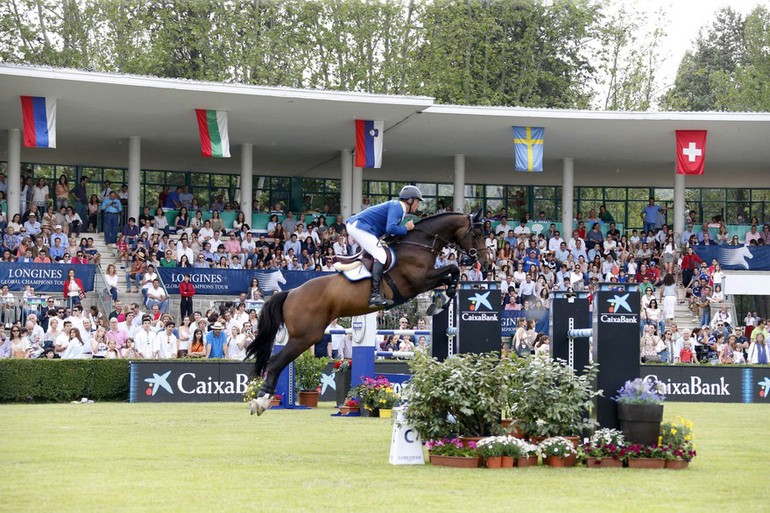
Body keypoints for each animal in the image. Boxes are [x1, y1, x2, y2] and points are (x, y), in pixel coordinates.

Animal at [244, 210, 486, 414]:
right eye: (477, 233)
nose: (481, 260)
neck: (419, 244)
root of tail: (291, 292)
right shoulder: (419, 282)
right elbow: (453, 270)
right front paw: (443, 299)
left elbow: (451, 273)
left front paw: (441, 299)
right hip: (305, 337)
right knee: (276, 362)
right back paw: (261, 401)